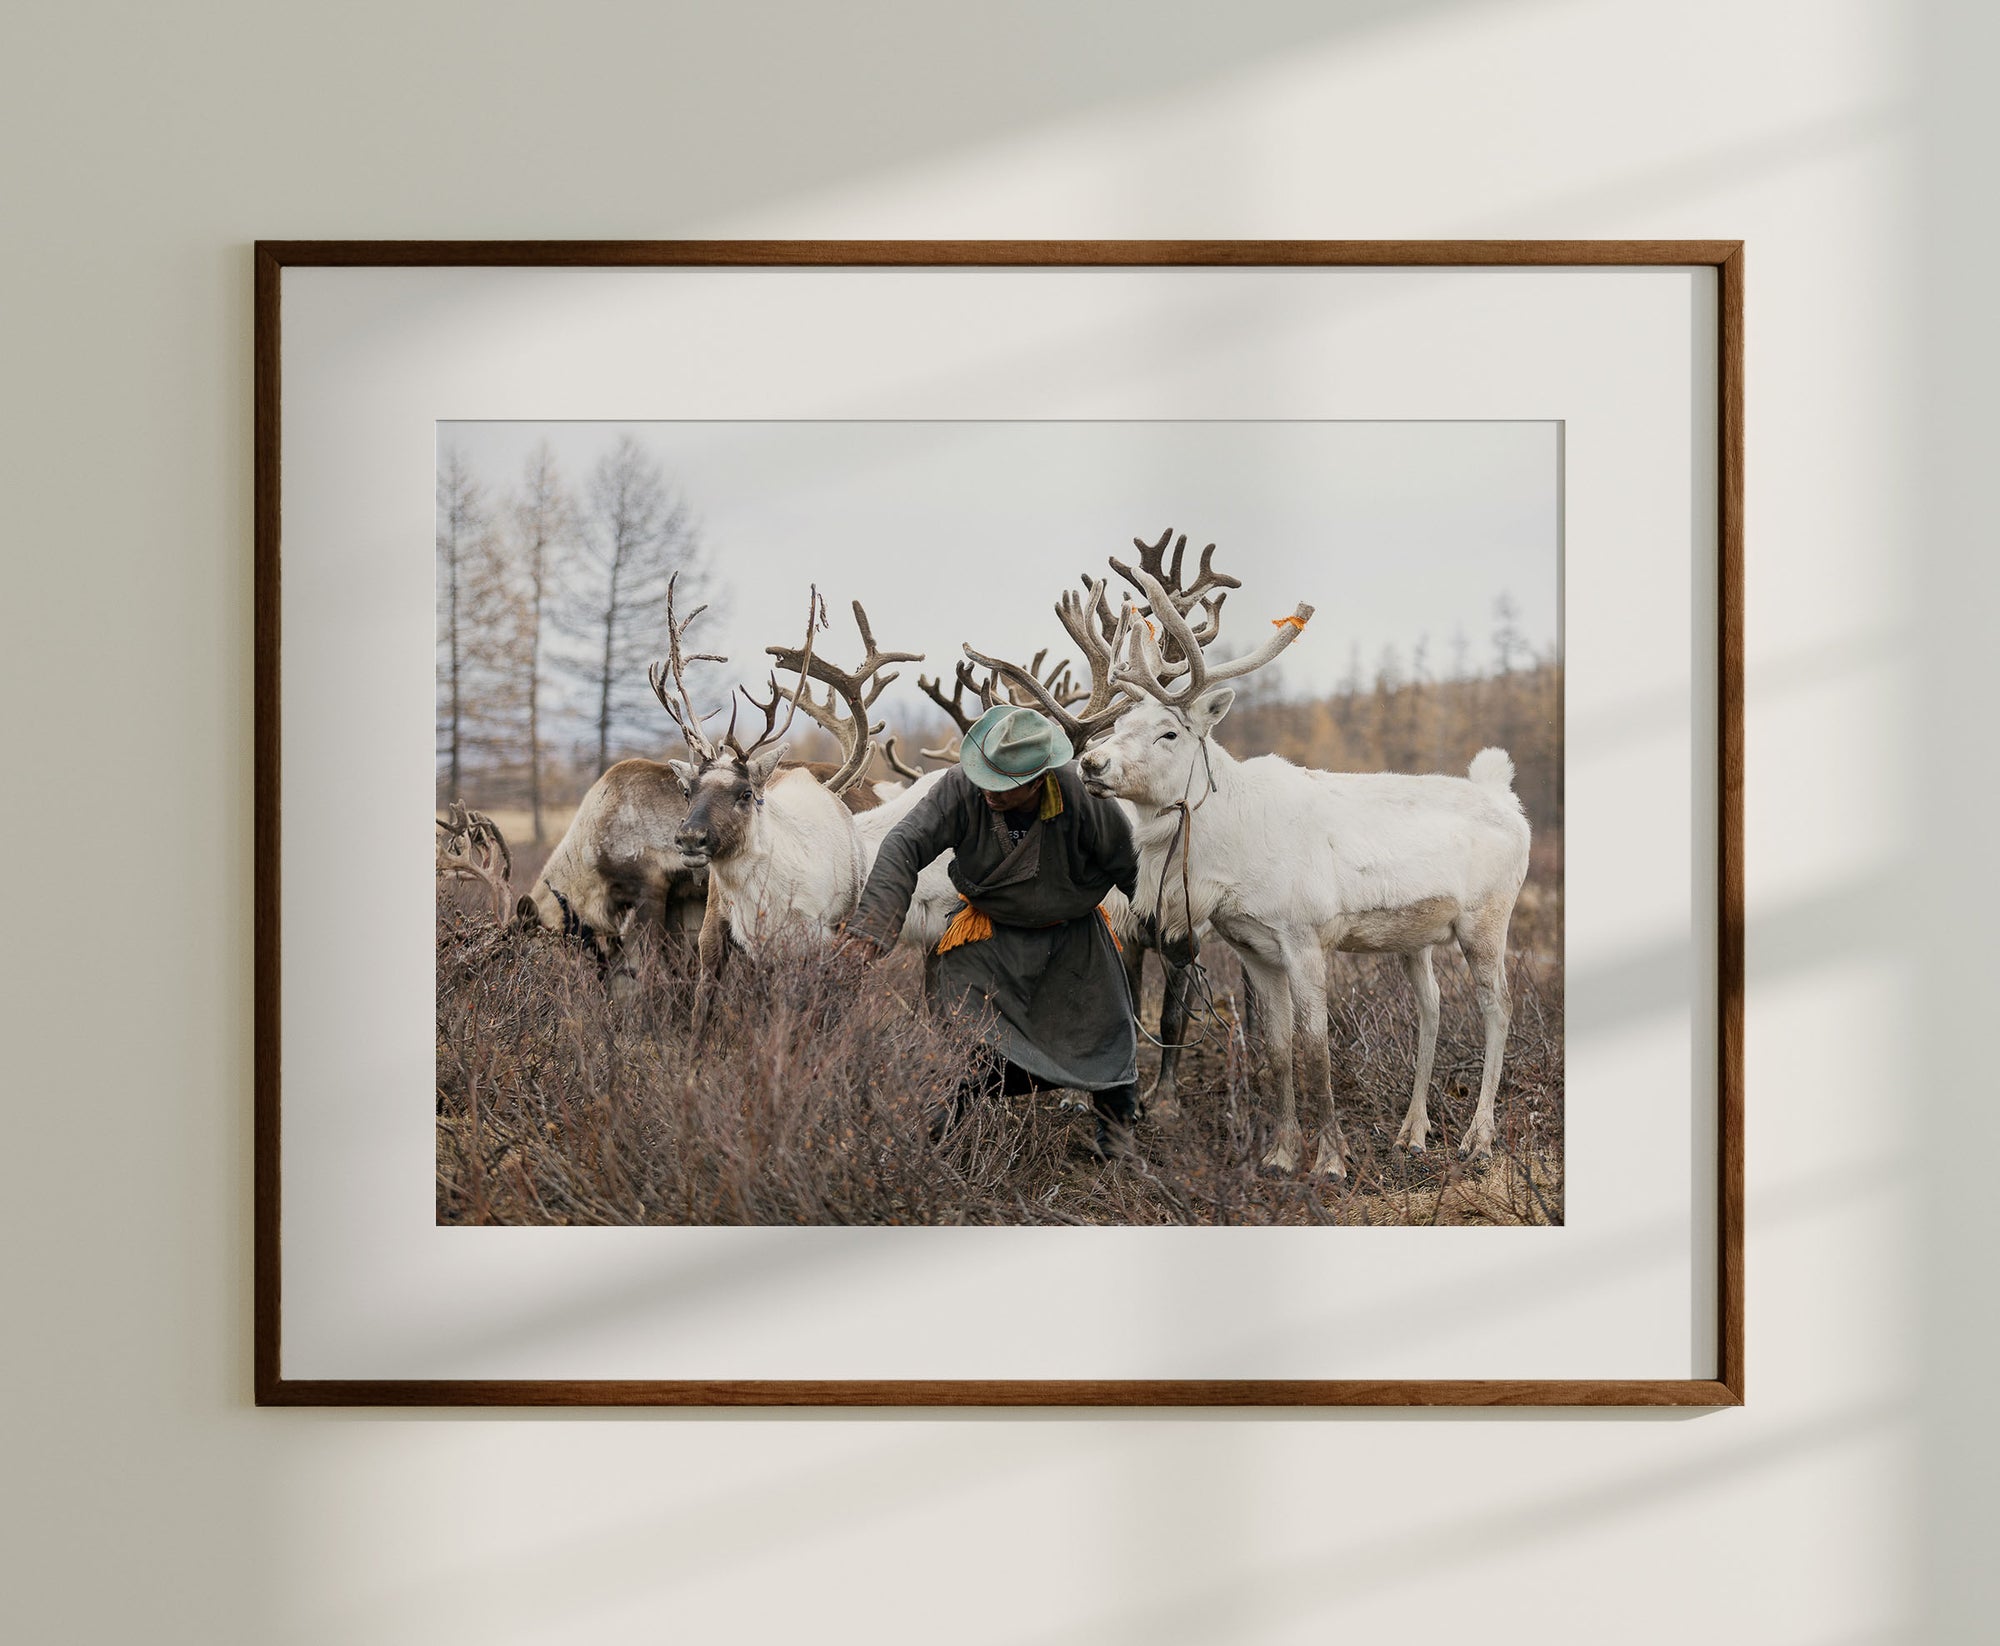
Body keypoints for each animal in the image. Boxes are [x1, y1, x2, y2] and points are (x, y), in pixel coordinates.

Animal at [1077, 558, 1532, 1176]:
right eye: (1118, 727)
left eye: (1168, 732)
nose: (1090, 762)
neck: (1229, 848)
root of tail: (1506, 797)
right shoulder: (1254, 948)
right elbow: (1278, 1050)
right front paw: (1281, 1153)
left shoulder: (1306, 939)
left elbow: (1316, 1051)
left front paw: (1332, 1160)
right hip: (1416, 938)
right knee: (1432, 1008)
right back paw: (1412, 1131)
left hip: (1486, 923)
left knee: (1498, 1008)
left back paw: (1478, 1138)